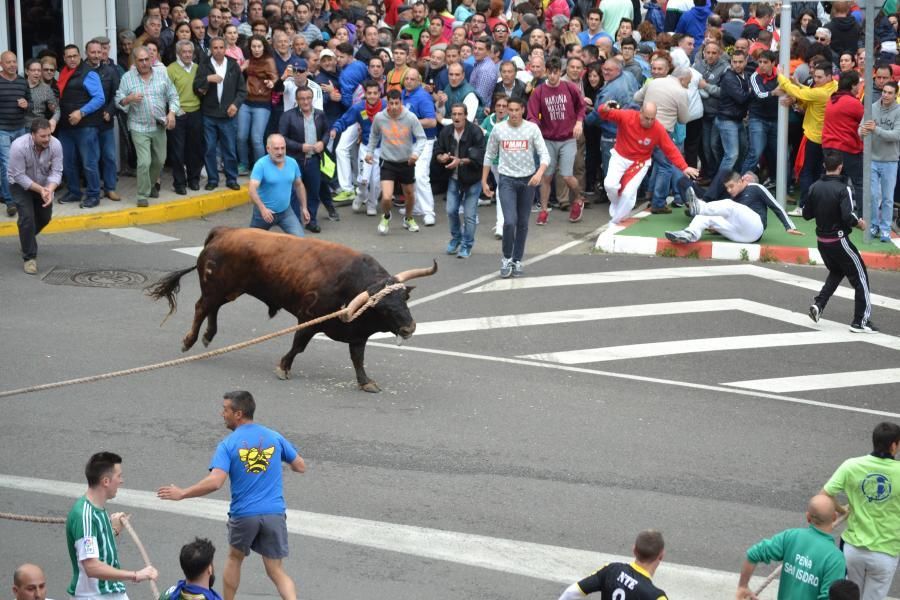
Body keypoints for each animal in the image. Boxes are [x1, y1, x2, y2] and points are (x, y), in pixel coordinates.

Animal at [147, 227, 436, 392]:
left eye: (404, 299)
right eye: (384, 308)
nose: (409, 327)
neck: (351, 284)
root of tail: (223, 231)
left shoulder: (357, 336)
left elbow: (358, 358)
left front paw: (366, 382)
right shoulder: (308, 320)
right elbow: (298, 346)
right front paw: (283, 367)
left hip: (229, 290)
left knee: (213, 309)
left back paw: (208, 337)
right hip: (216, 288)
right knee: (201, 307)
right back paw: (190, 340)